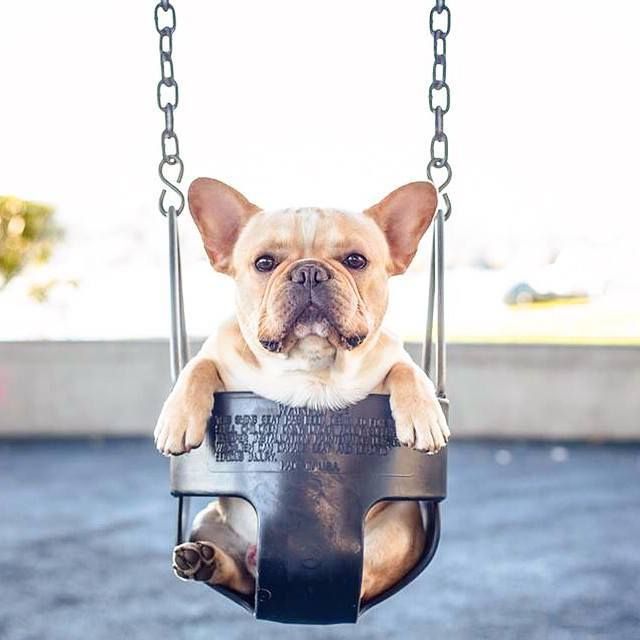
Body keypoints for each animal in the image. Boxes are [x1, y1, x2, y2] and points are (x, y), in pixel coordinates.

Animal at [154, 178, 450, 604]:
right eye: (264, 263)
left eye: (355, 260)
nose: (309, 272)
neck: (312, 366)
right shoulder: (219, 350)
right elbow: (198, 366)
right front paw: (177, 419)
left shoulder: (391, 353)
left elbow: (408, 370)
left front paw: (425, 415)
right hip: (208, 518)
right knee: (241, 577)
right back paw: (203, 559)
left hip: (397, 531)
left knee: (360, 579)